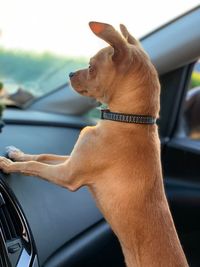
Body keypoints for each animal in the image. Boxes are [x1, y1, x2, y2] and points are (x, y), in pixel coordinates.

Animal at [0, 22, 188, 266]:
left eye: (90, 67)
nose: (70, 73)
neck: (128, 120)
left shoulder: (68, 174)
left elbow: (35, 166)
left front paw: (6, 164)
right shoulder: (72, 160)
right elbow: (42, 157)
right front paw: (16, 153)